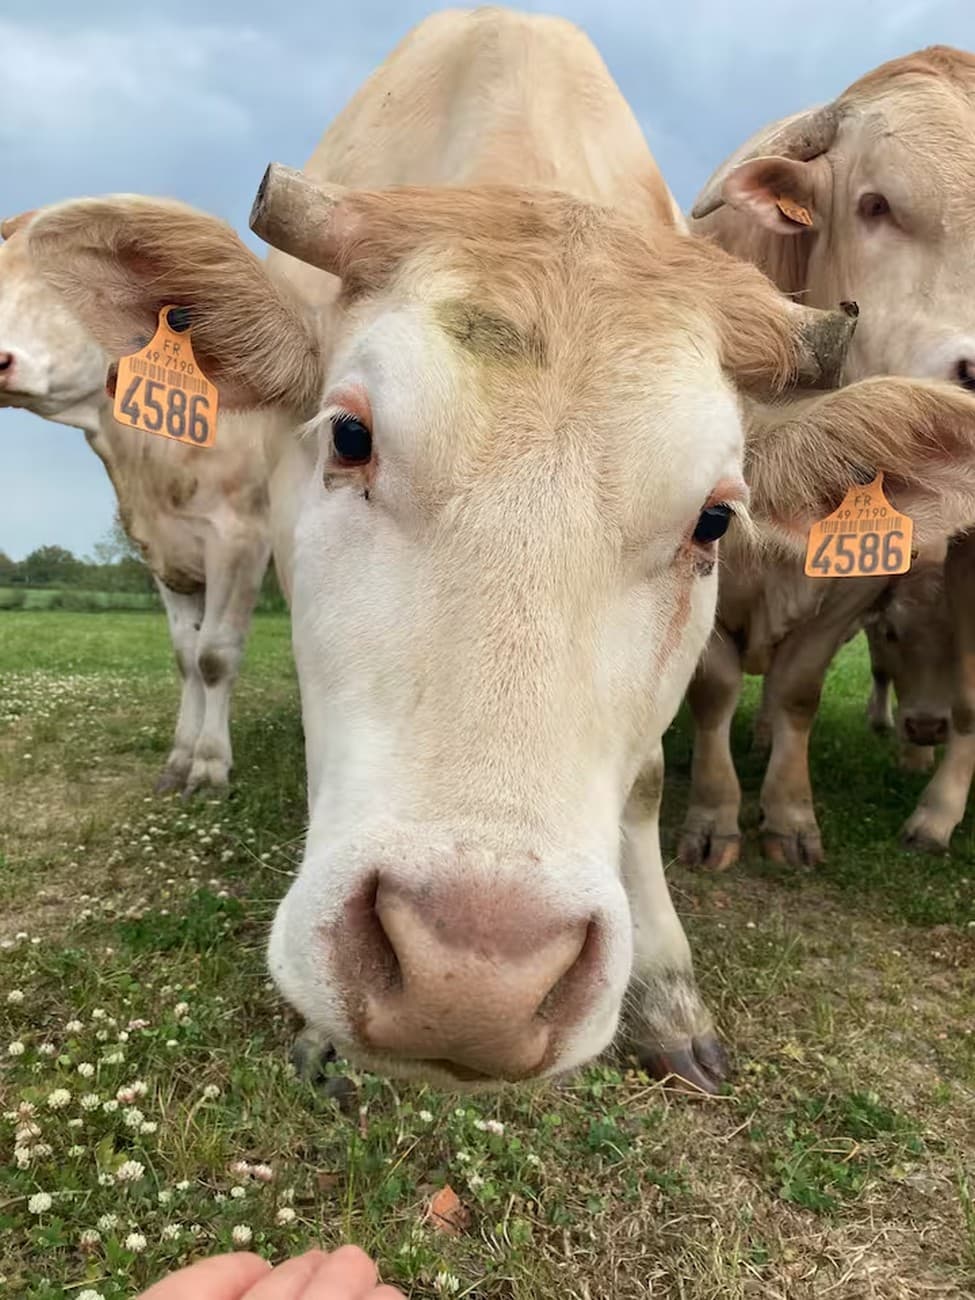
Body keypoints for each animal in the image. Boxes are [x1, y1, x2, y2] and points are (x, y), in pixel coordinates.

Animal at [0, 210, 274, 796]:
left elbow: (215, 656)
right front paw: (179, 758)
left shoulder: (240, 538)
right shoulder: (165, 552)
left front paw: (210, 767)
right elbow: (187, 657)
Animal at [682, 45, 975, 869]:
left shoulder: (856, 580)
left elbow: (798, 691)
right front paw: (714, 817)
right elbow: (713, 690)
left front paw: (788, 816)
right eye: (874, 205)